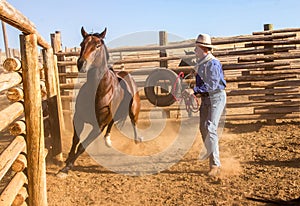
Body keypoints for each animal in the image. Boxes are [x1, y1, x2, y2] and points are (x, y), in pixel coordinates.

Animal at [59, 26, 143, 176]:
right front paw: (68, 159)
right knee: (111, 123)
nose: (81, 63)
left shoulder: (99, 125)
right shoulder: (78, 119)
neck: (98, 90)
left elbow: (82, 145)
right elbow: (76, 140)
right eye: (82, 44)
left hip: (133, 110)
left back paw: (137, 139)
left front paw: (67, 167)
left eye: (98, 45)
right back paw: (108, 140)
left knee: (133, 122)